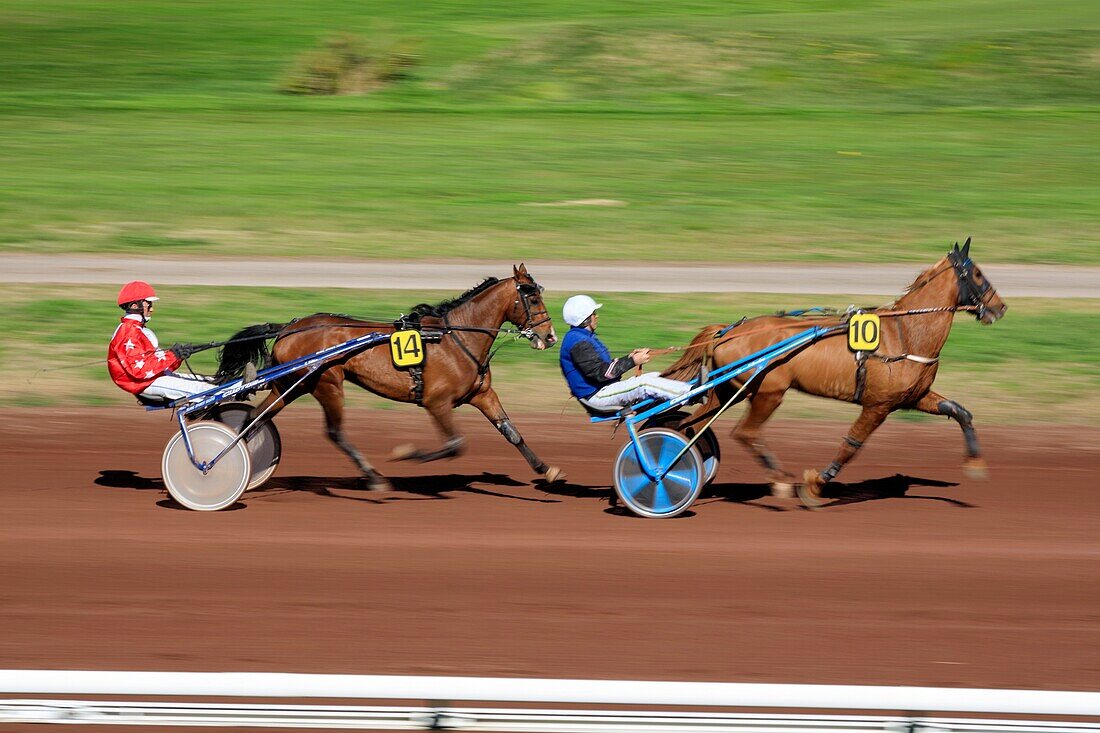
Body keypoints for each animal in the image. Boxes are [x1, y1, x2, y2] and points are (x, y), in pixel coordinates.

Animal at [216, 265, 558, 488]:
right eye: (534, 299)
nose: (550, 336)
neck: (455, 337)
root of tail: (289, 326)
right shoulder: (437, 402)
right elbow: (454, 444)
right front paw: (408, 454)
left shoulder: (482, 394)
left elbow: (512, 433)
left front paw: (545, 468)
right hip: (327, 383)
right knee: (334, 432)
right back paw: (373, 477)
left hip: (292, 384)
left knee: (256, 418)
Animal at [660, 242, 1007, 506]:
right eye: (977, 273)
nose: (1000, 307)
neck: (905, 333)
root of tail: (728, 331)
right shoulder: (878, 406)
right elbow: (851, 445)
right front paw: (815, 484)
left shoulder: (914, 396)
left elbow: (960, 411)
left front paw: (975, 463)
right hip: (768, 392)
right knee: (745, 433)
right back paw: (775, 481)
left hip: (732, 390)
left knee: (692, 425)